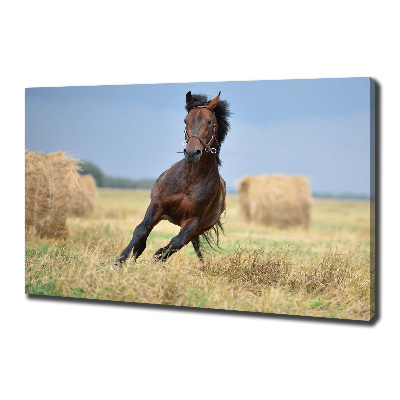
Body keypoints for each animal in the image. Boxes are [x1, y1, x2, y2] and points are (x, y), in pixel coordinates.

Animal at [118, 92, 231, 264]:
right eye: (186, 120)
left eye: (209, 121)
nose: (192, 152)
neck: (189, 180)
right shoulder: (156, 206)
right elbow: (140, 231)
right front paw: (119, 261)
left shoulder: (193, 220)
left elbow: (175, 243)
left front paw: (156, 258)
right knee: (143, 241)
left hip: (199, 229)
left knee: (177, 244)